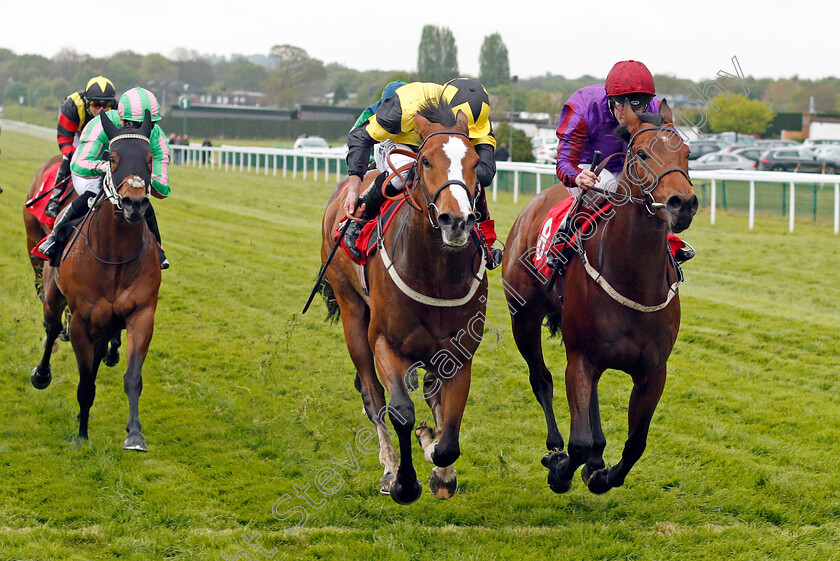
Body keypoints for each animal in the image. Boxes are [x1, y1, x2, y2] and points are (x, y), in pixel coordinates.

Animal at [30, 110, 162, 450]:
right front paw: (81, 435)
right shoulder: (81, 322)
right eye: (111, 158)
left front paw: (135, 435)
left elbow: (132, 377)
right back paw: (41, 374)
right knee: (51, 328)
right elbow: (86, 383)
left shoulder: (141, 314)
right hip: (53, 294)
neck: (114, 255)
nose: (134, 203)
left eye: (149, 158)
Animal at [318, 99, 486, 504]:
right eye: (425, 161)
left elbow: (449, 426)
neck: (435, 274)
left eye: (476, 162)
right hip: (351, 312)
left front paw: (440, 465)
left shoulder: (461, 352)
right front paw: (405, 482)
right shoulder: (384, 341)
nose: (456, 221)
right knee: (372, 396)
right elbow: (400, 412)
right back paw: (389, 467)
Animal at [502, 101, 700, 494]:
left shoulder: (653, 371)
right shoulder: (580, 357)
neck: (635, 281)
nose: (682, 203)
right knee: (541, 379)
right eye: (641, 154)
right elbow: (578, 442)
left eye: (687, 153)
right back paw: (554, 448)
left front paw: (601, 474)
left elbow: (636, 443)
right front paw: (561, 469)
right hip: (524, 318)